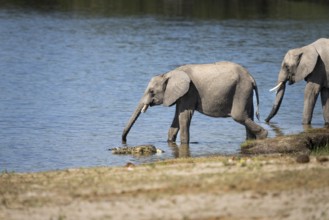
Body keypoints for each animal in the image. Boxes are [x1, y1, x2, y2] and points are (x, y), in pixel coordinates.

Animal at [121, 62, 268, 144]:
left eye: (151, 91)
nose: (124, 141)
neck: (170, 73)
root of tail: (251, 77)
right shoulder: (181, 94)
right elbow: (176, 119)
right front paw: (170, 142)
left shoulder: (190, 91)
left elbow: (184, 117)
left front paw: (185, 143)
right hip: (245, 92)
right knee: (248, 116)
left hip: (241, 90)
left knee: (239, 116)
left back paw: (264, 136)